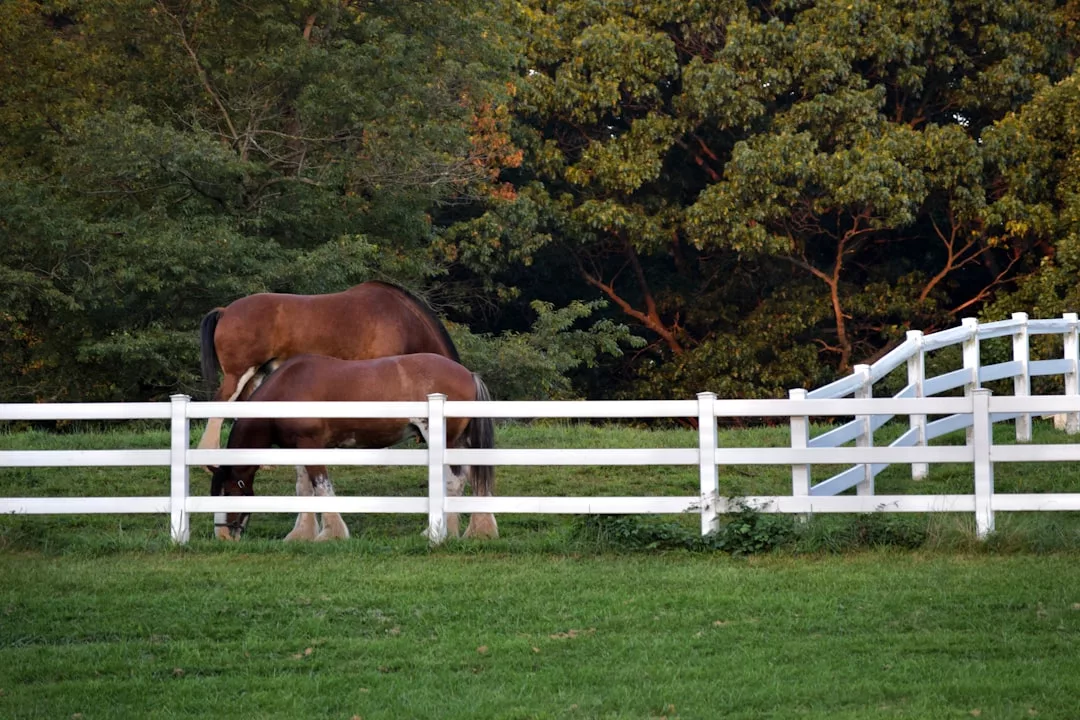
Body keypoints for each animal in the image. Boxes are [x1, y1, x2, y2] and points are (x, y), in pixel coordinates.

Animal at [210, 353, 497, 543]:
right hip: (461, 442)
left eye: (228, 492)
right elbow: (304, 489)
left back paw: (439, 532)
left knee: (454, 481)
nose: (223, 534)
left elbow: (322, 487)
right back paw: (476, 530)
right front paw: (301, 534)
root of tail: (467, 374)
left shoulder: (312, 446)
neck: (287, 390)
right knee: (472, 480)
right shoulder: (298, 448)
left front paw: (331, 534)